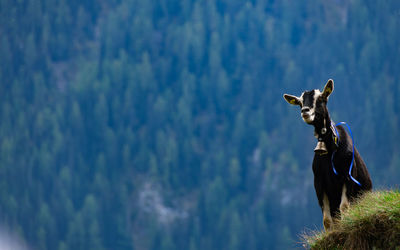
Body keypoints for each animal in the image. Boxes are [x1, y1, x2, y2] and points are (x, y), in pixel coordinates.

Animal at [282, 79, 372, 230]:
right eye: (300, 102)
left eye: (321, 98)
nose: (305, 111)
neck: (331, 149)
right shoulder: (319, 182)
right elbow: (327, 219)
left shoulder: (348, 175)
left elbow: (344, 207)